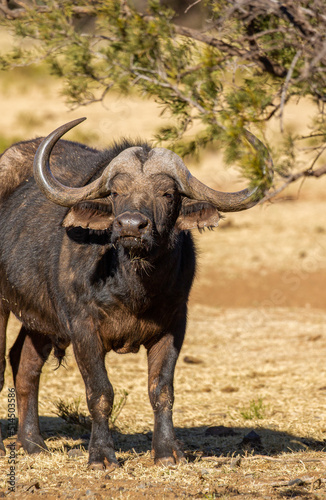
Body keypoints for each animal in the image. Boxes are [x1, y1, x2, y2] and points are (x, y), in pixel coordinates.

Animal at [0, 118, 272, 468]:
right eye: (116, 192)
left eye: (167, 193)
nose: (131, 225)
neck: (134, 287)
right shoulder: (83, 330)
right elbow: (100, 393)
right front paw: (101, 455)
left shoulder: (172, 328)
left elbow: (162, 390)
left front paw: (167, 451)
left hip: (40, 321)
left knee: (25, 365)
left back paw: (33, 443)